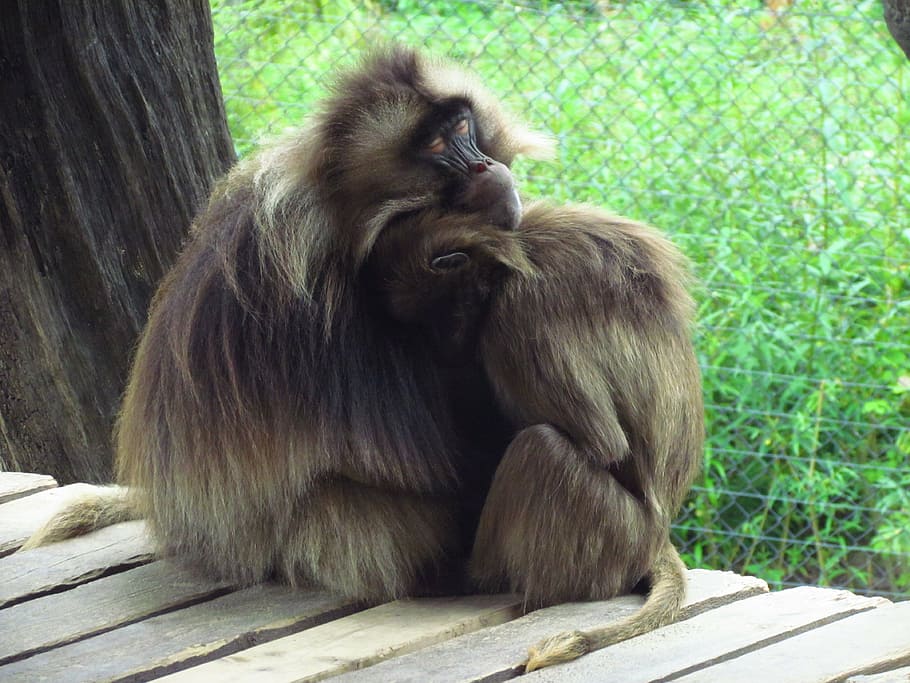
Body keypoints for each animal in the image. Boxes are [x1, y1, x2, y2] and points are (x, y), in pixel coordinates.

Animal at [20, 45, 553, 601]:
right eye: (434, 144)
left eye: (463, 125)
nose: (483, 165)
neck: (343, 217)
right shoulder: (314, 311)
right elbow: (427, 462)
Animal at [367, 201, 704, 671]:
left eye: (436, 313)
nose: (444, 345)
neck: (513, 249)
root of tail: (656, 536)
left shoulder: (516, 315)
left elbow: (601, 442)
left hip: (613, 539)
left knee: (541, 449)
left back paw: (475, 578)